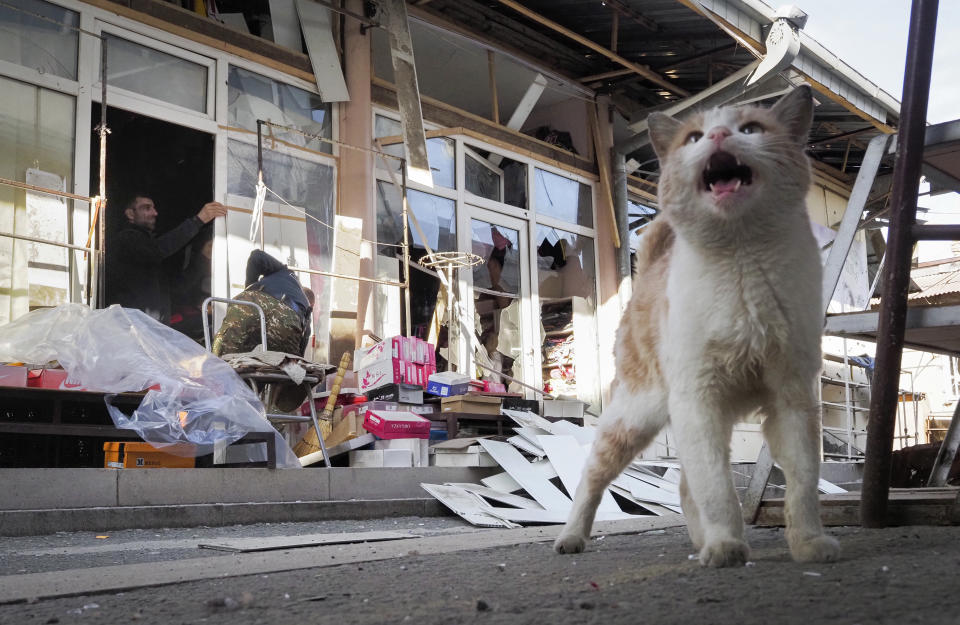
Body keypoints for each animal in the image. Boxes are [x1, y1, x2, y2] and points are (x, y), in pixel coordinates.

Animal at [556, 85, 840, 568]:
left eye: (751, 128)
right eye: (693, 137)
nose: (720, 135)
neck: (742, 263)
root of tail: (650, 271)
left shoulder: (793, 399)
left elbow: (802, 484)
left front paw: (808, 543)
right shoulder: (699, 398)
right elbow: (718, 489)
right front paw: (727, 545)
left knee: (686, 486)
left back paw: (699, 540)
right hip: (632, 418)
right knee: (592, 477)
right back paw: (572, 536)